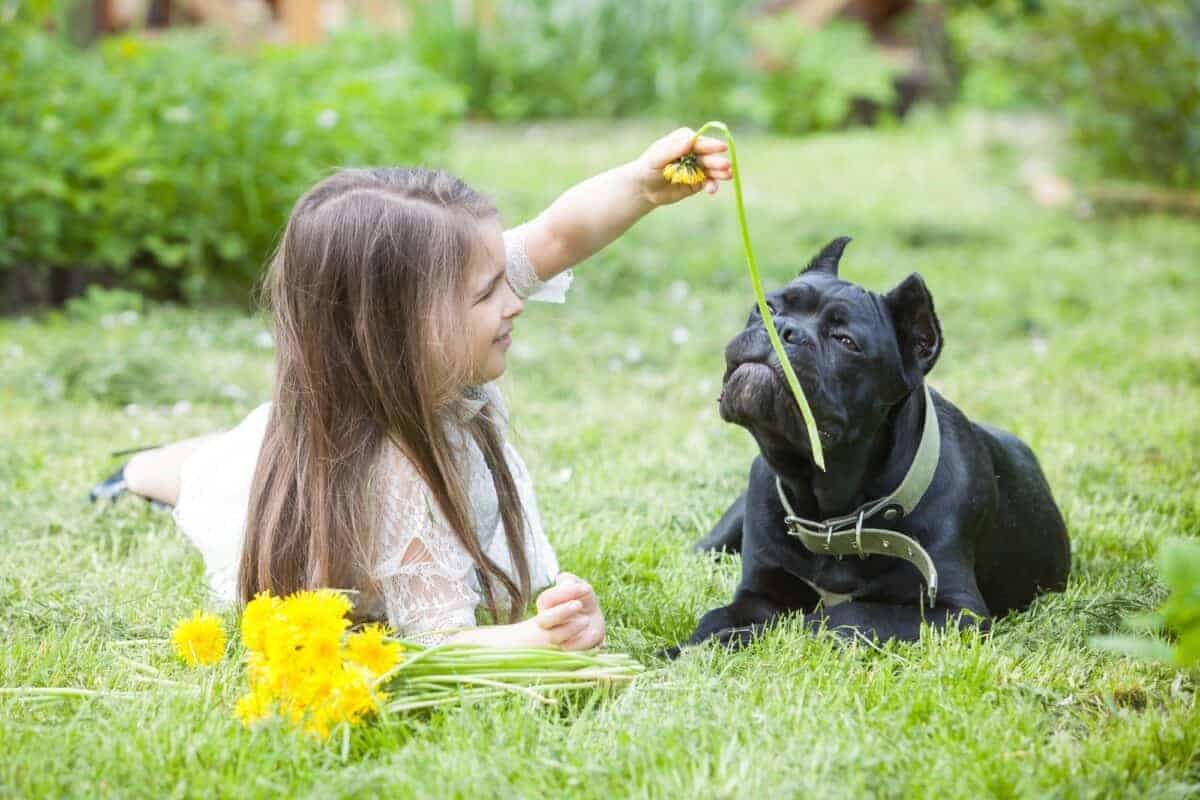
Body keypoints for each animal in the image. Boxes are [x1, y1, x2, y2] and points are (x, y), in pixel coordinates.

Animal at [672, 237, 1075, 657]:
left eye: (846, 342)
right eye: (767, 306)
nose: (784, 328)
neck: (830, 510)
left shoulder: (954, 613)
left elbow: (837, 617)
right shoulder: (760, 591)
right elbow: (718, 617)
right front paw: (687, 649)